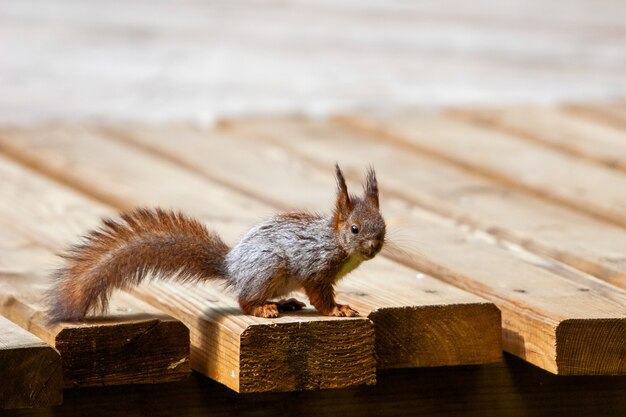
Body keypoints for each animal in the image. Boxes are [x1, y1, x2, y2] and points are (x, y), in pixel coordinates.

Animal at [46, 163, 382, 322]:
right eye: (354, 229)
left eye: (383, 225)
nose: (374, 247)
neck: (334, 241)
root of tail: (231, 266)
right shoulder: (315, 267)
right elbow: (319, 295)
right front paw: (337, 309)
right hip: (269, 267)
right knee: (245, 301)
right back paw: (264, 309)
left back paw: (282, 302)